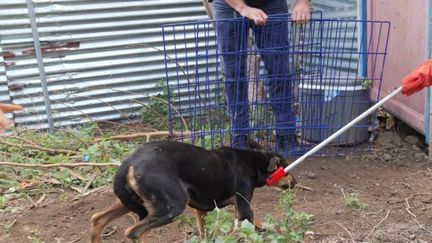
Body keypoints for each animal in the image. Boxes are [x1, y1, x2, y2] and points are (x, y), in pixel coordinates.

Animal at [89, 140, 296, 242]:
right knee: (134, 232)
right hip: (171, 207)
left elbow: (204, 233)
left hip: (130, 201)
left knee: (98, 219)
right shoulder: (243, 205)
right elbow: (251, 224)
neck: (255, 161)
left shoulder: (201, 209)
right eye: (286, 169)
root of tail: (130, 162)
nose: (296, 181)